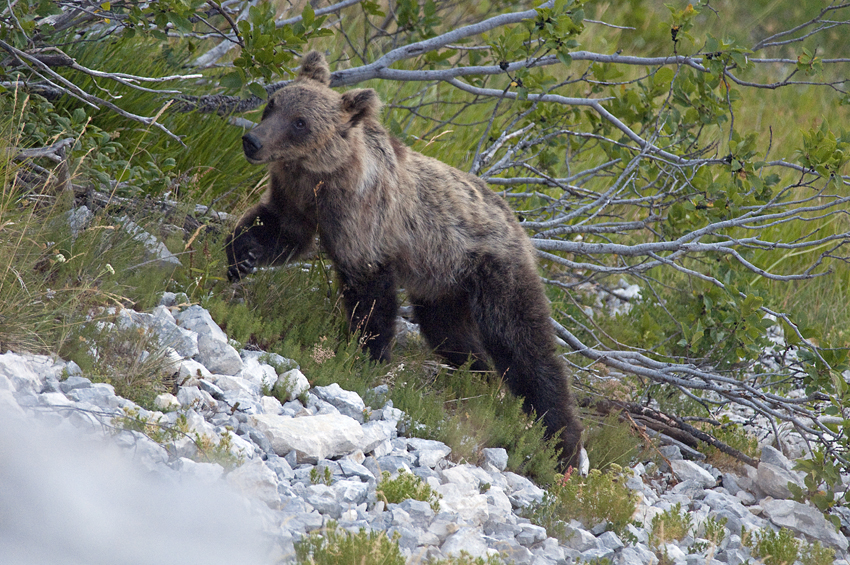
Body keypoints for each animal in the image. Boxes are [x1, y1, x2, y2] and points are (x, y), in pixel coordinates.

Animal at [227, 51, 584, 468]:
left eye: (300, 122)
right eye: (273, 104)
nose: (252, 140)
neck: (322, 176)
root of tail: (518, 223)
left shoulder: (364, 219)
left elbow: (370, 293)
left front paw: (367, 355)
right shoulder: (297, 197)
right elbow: (279, 231)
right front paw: (238, 258)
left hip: (495, 272)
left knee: (523, 344)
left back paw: (562, 442)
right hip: (443, 285)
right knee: (452, 335)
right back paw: (478, 381)